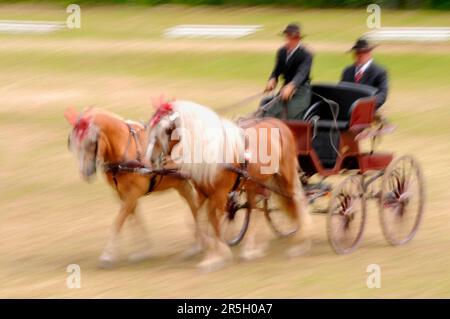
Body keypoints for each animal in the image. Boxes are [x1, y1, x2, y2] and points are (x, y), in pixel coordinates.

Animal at [64, 107, 202, 268]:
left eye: (90, 142)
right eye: (72, 143)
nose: (86, 174)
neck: (124, 148)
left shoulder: (133, 193)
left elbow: (118, 221)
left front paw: (107, 256)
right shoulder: (122, 194)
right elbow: (133, 218)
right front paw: (143, 251)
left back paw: (199, 244)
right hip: (182, 183)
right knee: (194, 206)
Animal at [146, 100, 314, 272]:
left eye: (167, 129)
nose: (152, 159)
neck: (211, 150)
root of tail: (279, 123)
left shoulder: (220, 195)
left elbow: (214, 221)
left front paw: (217, 257)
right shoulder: (202, 193)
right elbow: (198, 219)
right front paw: (210, 253)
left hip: (286, 175)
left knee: (298, 200)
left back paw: (300, 244)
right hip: (255, 183)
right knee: (256, 210)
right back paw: (250, 250)